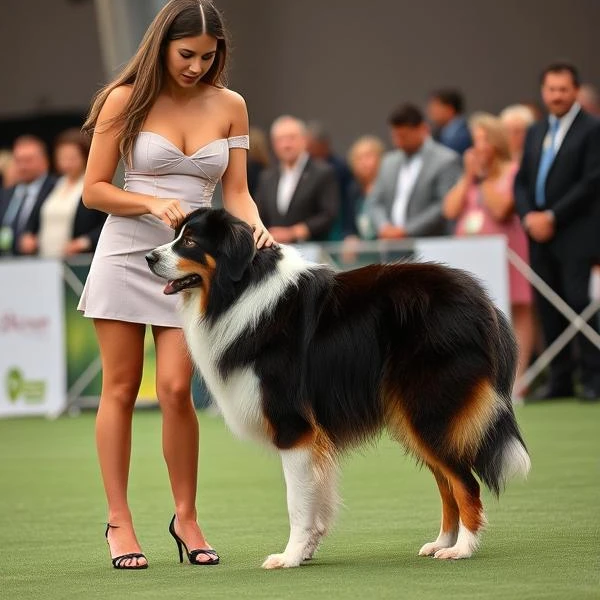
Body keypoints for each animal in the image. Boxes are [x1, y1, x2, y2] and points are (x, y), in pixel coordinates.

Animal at [145, 209, 528, 568]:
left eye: (190, 242)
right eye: (176, 234)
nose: (149, 257)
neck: (240, 291)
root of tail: (485, 304)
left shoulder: (294, 428)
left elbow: (297, 502)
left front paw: (290, 556)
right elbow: (317, 496)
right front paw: (307, 550)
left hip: (430, 410)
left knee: (466, 483)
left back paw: (462, 549)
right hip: (414, 418)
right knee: (447, 483)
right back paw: (441, 543)